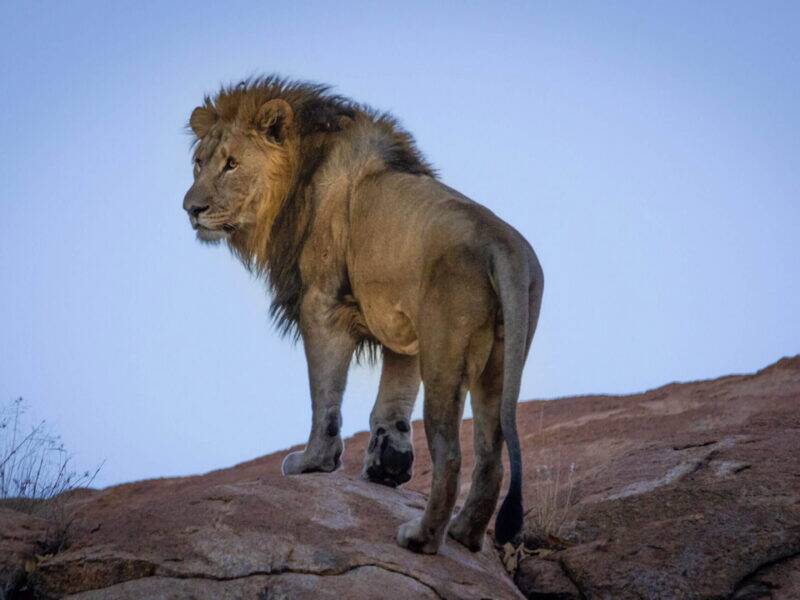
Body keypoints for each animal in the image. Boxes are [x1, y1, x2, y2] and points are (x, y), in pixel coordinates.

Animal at [183, 76, 543, 554]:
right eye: (198, 163)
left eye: (232, 164)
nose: (191, 209)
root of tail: (503, 245)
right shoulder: (403, 327)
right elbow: (391, 405)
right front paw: (387, 467)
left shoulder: (322, 305)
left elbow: (324, 396)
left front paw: (314, 461)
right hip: (498, 363)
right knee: (491, 455)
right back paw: (464, 534)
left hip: (446, 353)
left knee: (451, 454)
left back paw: (421, 538)